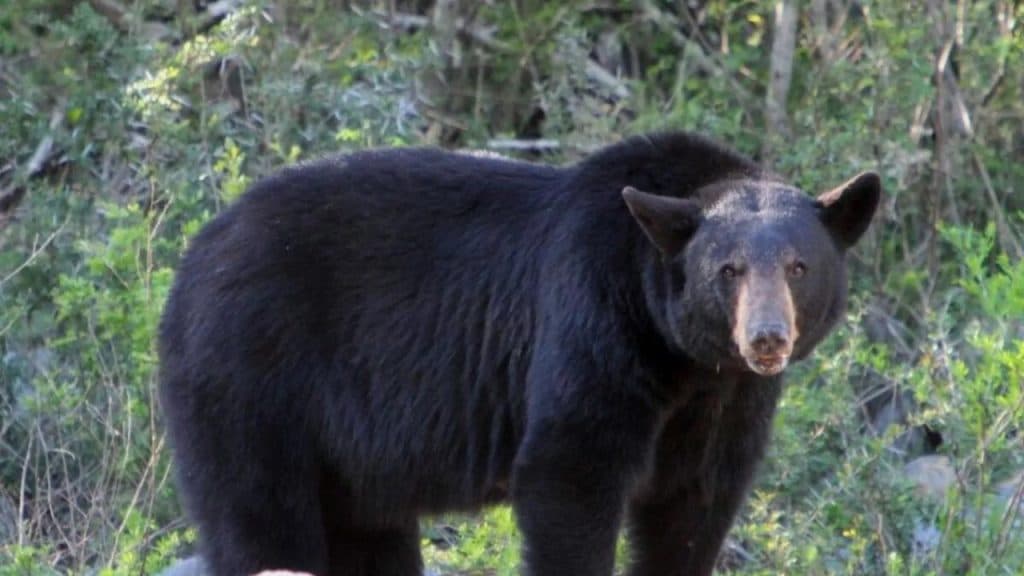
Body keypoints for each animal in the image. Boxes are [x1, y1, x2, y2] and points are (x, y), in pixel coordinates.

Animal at [158, 131, 880, 576]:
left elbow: (694, 505)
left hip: (350, 456)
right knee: (258, 518)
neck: (682, 359)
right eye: (728, 270)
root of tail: (191, 256)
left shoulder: (727, 402)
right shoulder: (593, 322)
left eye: (798, 266)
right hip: (249, 375)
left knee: (367, 537)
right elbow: (569, 470)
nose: (766, 337)